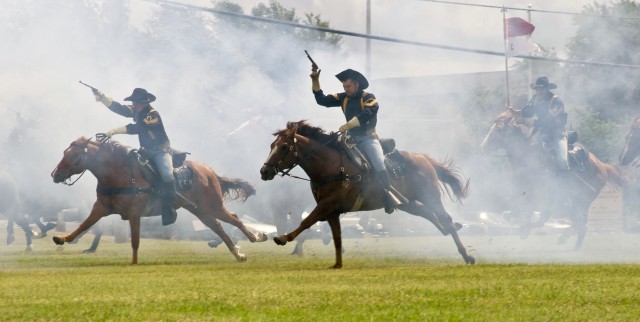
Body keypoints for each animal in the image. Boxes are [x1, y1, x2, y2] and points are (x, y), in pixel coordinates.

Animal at [50, 136, 268, 264]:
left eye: (74, 155)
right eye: (64, 153)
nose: (55, 174)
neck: (119, 172)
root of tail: (209, 172)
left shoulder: (134, 213)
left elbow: (135, 240)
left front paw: (134, 262)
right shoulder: (101, 208)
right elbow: (84, 225)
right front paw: (62, 238)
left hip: (212, 206)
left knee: (235, 219)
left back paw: (257, 238)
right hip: (200, 210)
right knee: (219, 228)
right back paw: (239, 254)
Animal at [260, 119, 476, 268]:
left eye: (284, 146)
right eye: (271, 146)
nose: (264, 171)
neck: (331, 165)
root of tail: (424, 158)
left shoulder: (325, 206)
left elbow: (306, 222)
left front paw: (283, 238)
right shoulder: (332, 212)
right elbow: (336, 236)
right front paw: (337, 264)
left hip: (430, 197)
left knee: (444, 217)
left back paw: (467, 255)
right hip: (408, 203)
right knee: (429, 215)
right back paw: (450, 232)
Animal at [480, 108, 632, 249]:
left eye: (500, 129)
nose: (484, 146)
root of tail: (602, 166)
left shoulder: (545, 196)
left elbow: (539, 218)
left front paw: (524, 230)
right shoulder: (524, 194)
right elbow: (525, 213)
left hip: (582, 200)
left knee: (581, 224)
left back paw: (570, 243)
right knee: (578, 222)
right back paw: (564, 239)